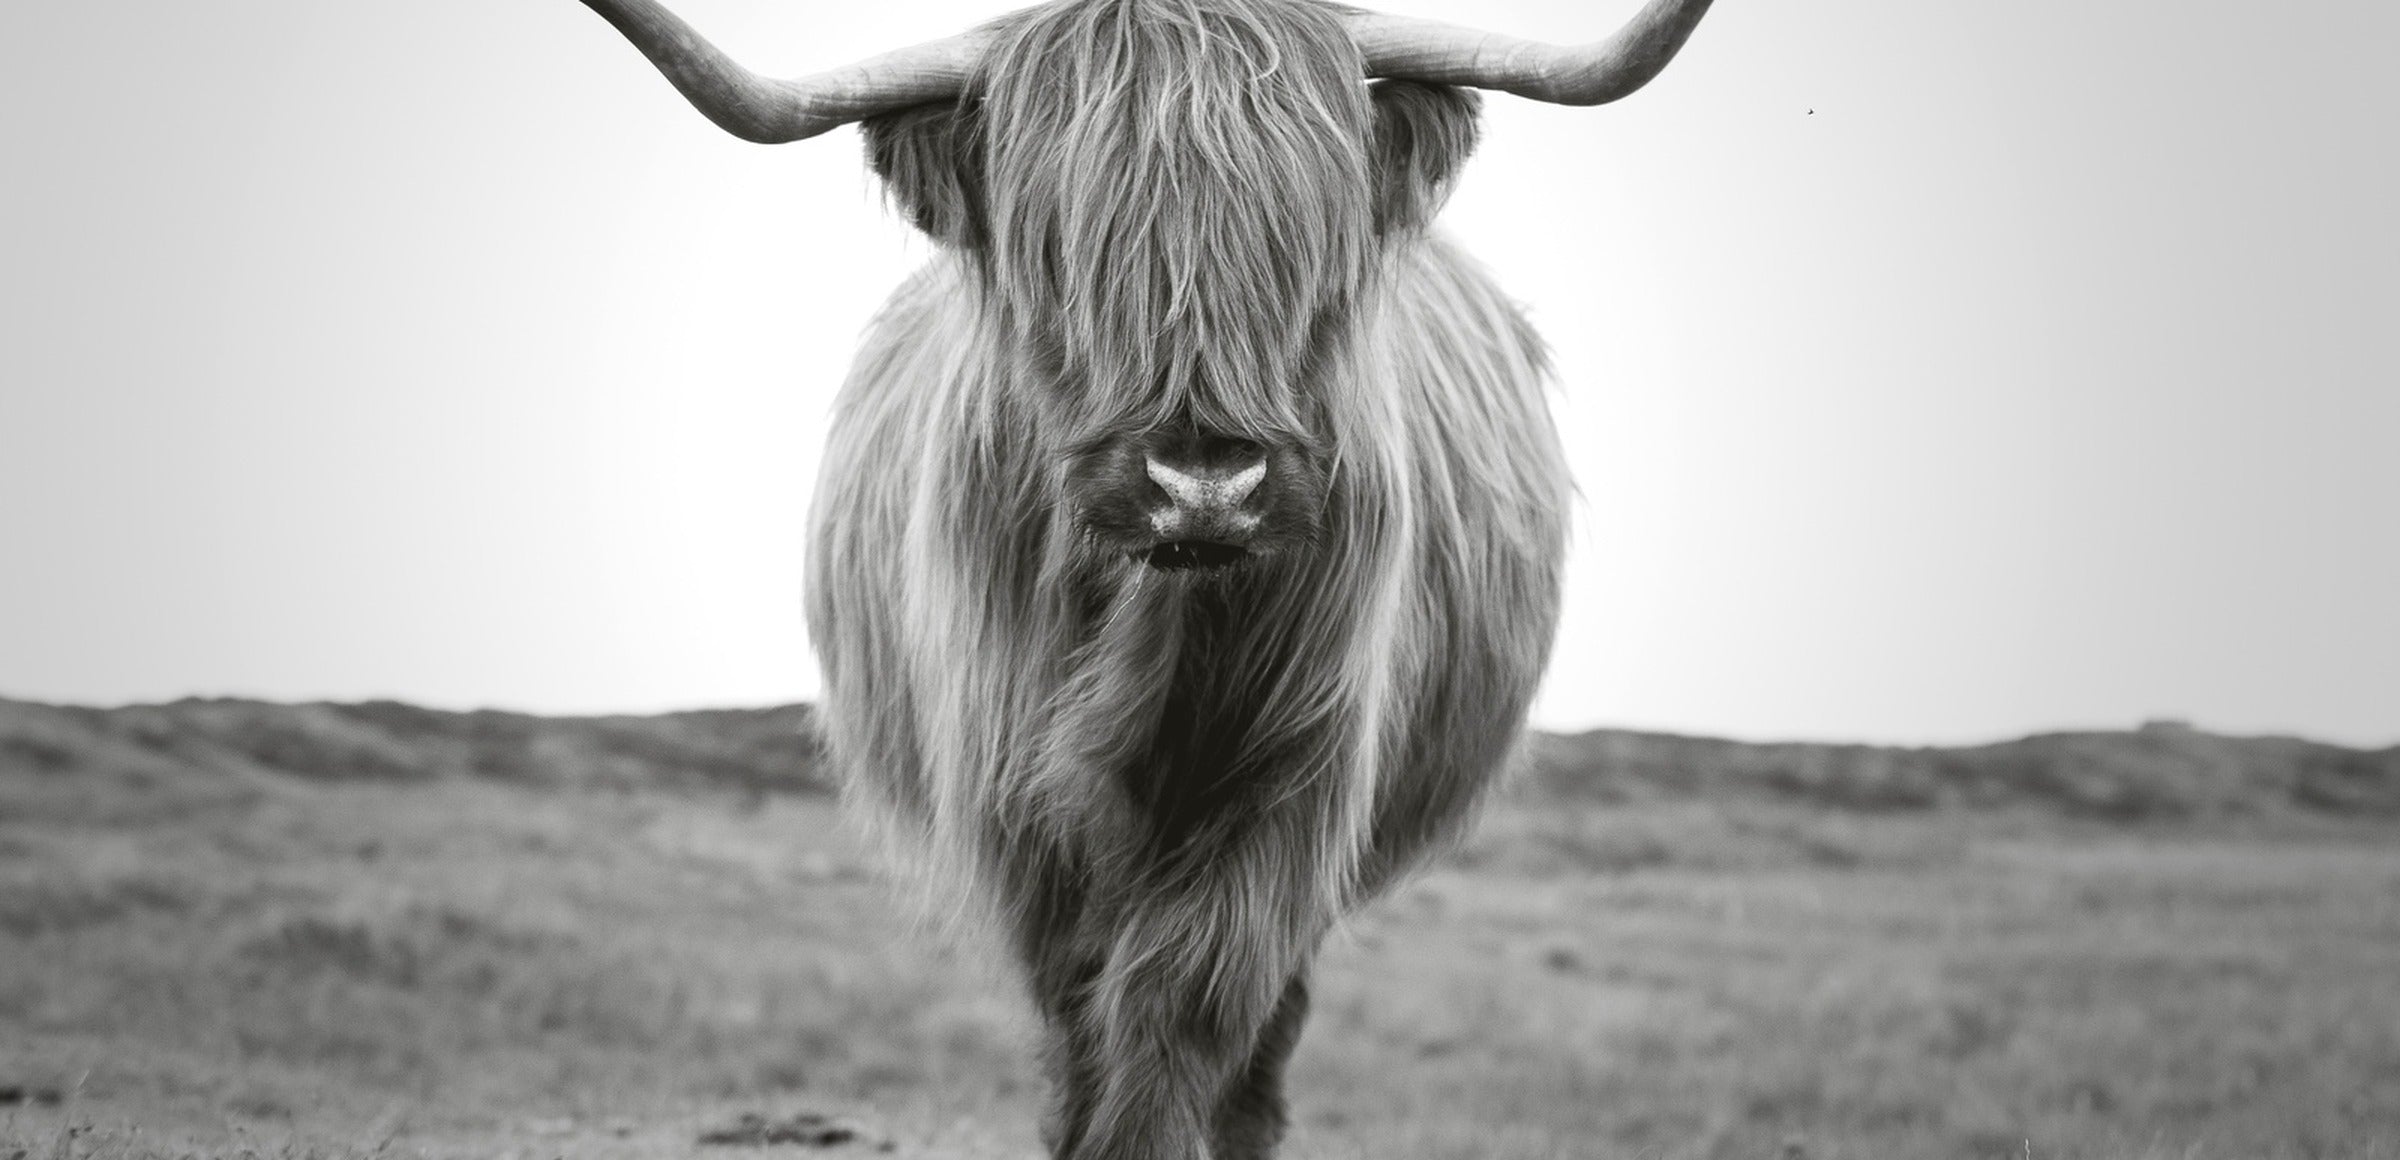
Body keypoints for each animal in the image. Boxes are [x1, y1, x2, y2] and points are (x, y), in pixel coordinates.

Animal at [571, 1, 1717, 1156]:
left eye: (1312, 241)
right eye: (1056, 248)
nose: (1204, 486)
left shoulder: (1293, 776)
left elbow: (1188, 995)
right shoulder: (1015, 788)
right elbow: (1080, 994)